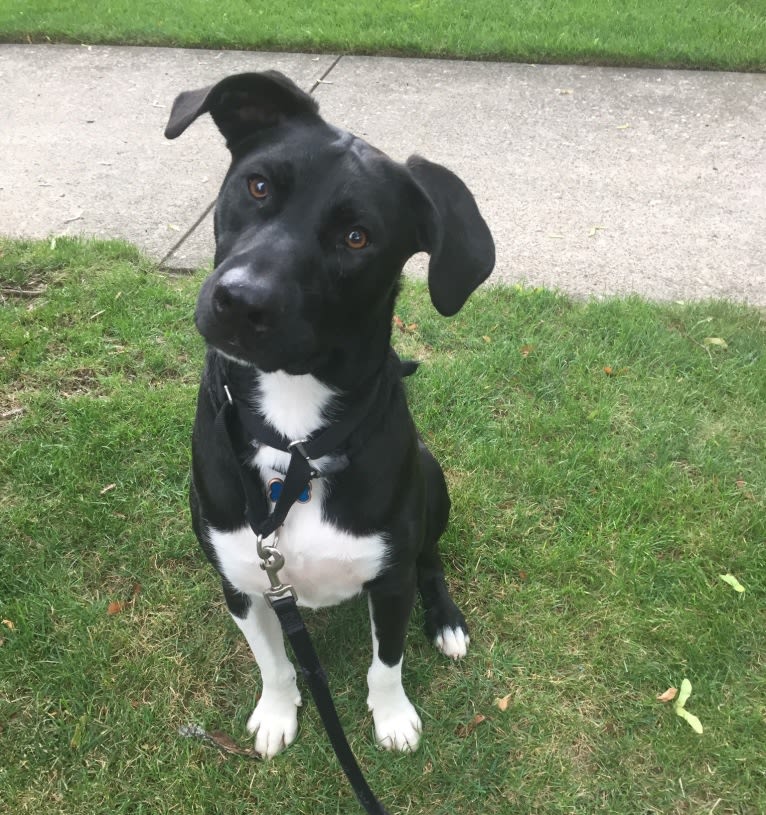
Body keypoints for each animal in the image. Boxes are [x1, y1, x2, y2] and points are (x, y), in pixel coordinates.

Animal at [164, 70, 496, 760]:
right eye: (258, 185)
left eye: (357, 237)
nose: (240, 302)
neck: (295, 437)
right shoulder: (242, 580)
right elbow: (274, 661)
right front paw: (277, 713)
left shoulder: (390, 581)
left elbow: (387, 662)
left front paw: (392, 719)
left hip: (433, 481)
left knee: (432, 560)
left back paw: (446, 622)